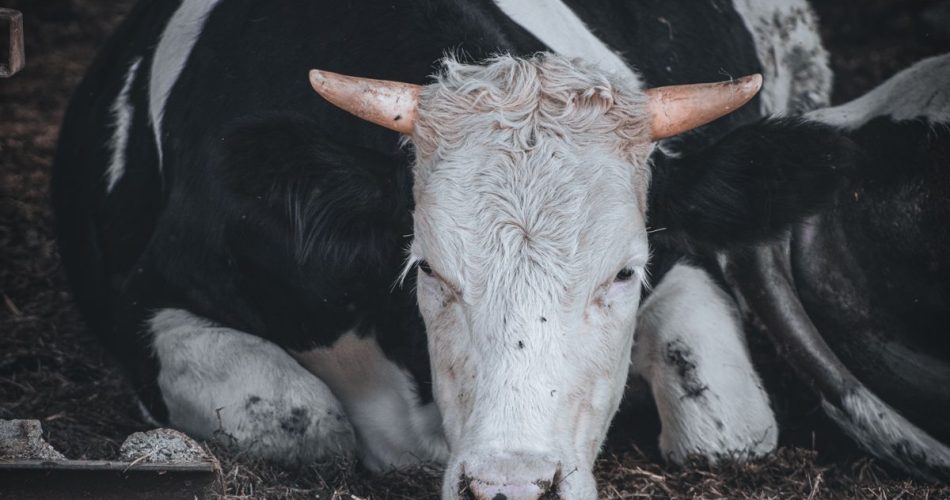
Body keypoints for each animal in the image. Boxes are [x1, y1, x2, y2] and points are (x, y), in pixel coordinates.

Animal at [50, 0, 869, 497]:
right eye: (428, 268)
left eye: (625, 271)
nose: (513, 485)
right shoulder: (147, 295)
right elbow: (300, 418)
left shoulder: (683, 252)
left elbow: (727, 427)